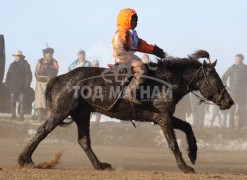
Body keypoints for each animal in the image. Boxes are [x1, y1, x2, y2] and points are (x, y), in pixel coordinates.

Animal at [17, 50, 233, 173]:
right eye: (216, 78)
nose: (229, 101)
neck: (166, 80)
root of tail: (61, 77)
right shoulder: (164, 118)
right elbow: (172, 143)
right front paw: (185, 167)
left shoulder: (164, 117)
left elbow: (187, 127)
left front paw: (193, 154)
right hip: (61, 112)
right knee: (42, 131)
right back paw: (25, 159)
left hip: (82, 115)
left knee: (84, 141)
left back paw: (100, 165)